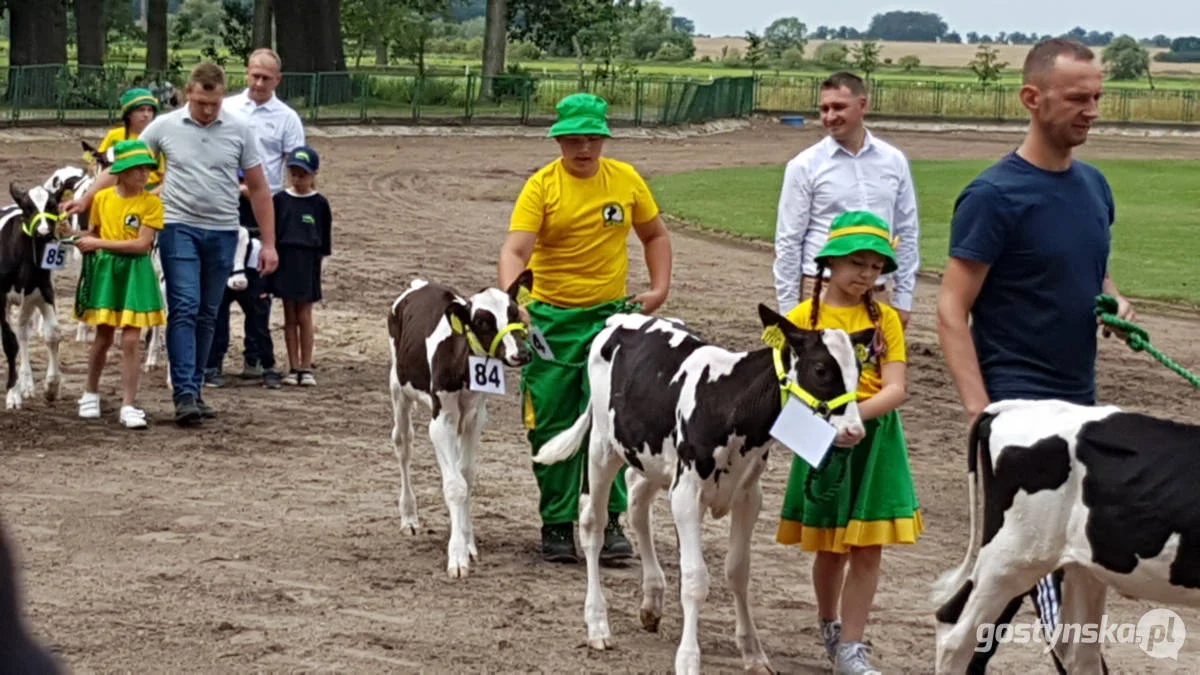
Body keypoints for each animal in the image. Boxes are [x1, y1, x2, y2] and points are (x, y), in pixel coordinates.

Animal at [0, 181, 65, 408]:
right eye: (28, 208)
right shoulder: (0, 296)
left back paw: (27, 384)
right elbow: (9, 342)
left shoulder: (43, 291)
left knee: (23, 331)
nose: (44, 232)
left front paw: (52, 386)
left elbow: (53, 333)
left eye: (53, 205)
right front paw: (12, 393)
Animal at [388, 270, 535, 576]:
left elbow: (466, 476)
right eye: (482, 321)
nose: (521, 353)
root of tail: (419, 285)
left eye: (514, 312)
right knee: (403, 445)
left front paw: (468, 543)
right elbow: (455, 486)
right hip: (398, 388)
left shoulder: (474, 417)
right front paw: (456, 556)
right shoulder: (441, 421)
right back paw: (409, 517)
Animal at [532, 305, 864, 672]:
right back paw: (597, 624)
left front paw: (753, 651)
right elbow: (694, 578)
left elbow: (737, 571)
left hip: (652, 457)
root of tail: (619, 319)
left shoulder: (748, 495)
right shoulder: (687, 494)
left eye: (860, 369)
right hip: (604, 446)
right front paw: (689, 659)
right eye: (820, 369)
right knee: (593, 522)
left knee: (637, 501)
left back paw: (652, 600)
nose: (855, 431)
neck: (727, 401)